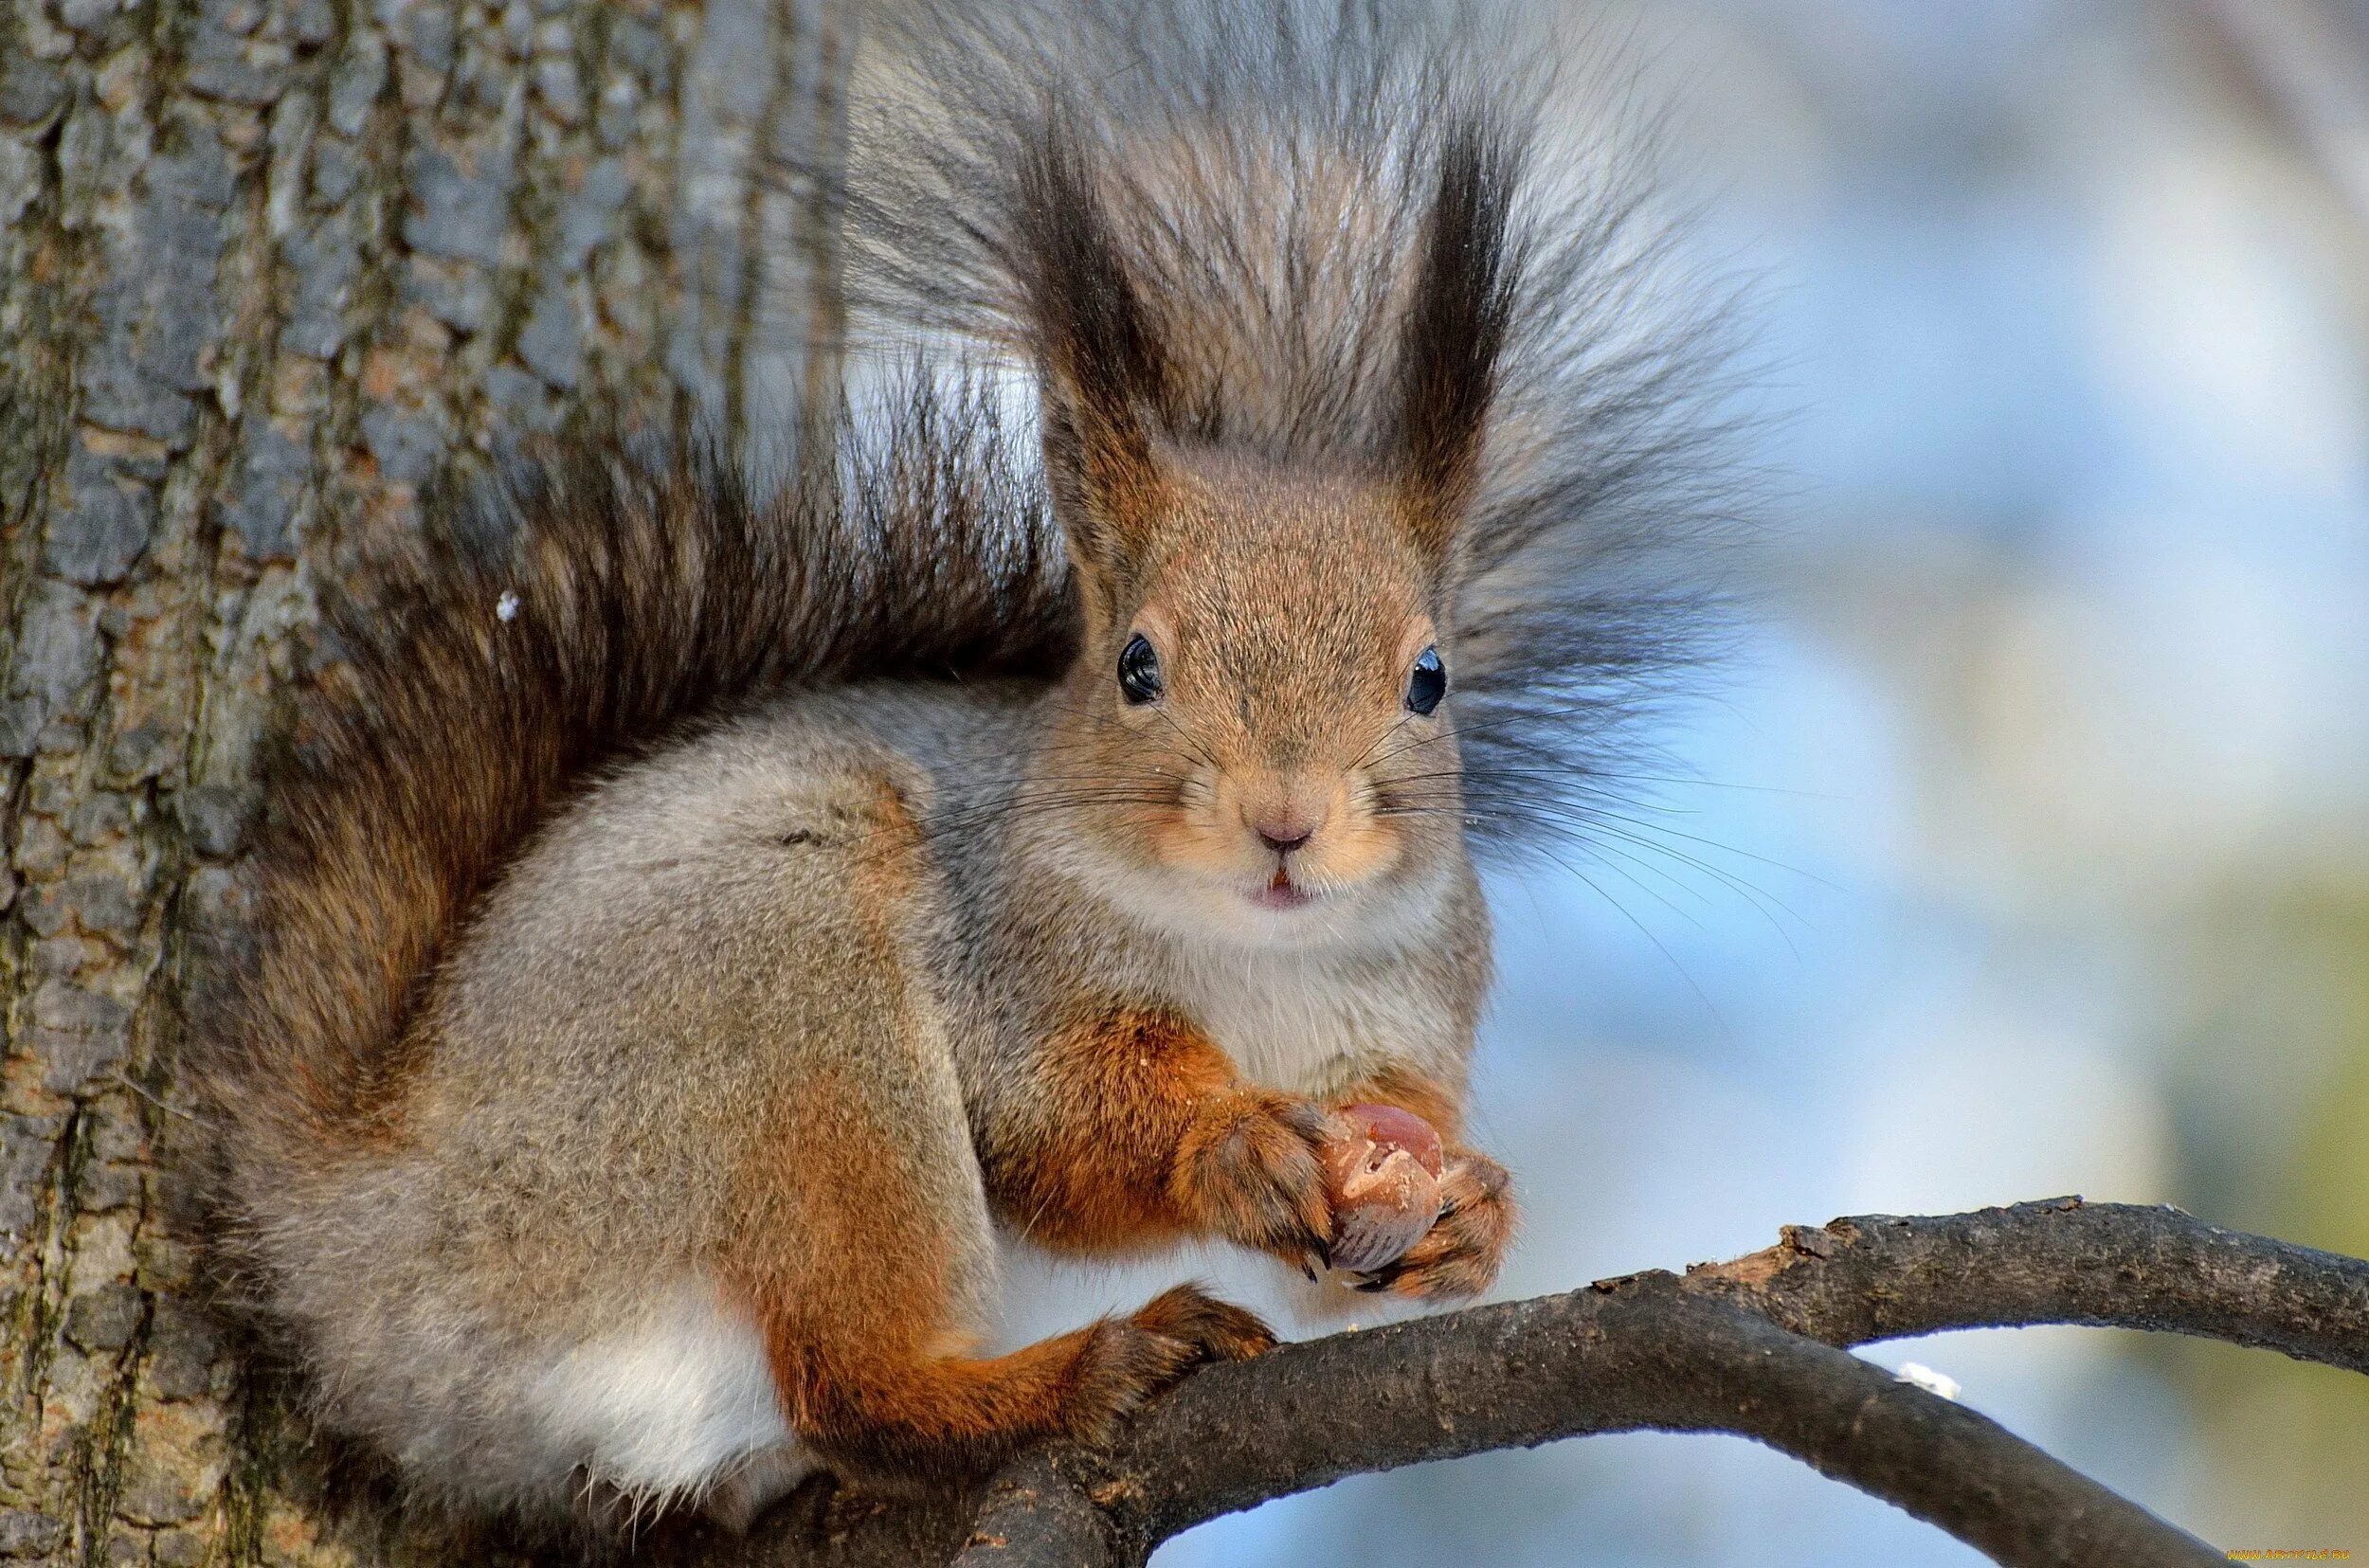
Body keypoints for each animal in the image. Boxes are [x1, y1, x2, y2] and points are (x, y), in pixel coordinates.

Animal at [190, 0, 1744, 1544]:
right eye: (1135, 665)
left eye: (1430, 678)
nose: (1285, 824)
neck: (1255, 958)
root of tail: (362, 1243)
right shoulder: (1009, 962)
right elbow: (1048, 1131)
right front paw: (1229, 1144)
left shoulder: (1413, 1008)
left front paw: (1469, 1210)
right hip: (778, 1019)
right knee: (852, 1380)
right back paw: (1075, 1370)